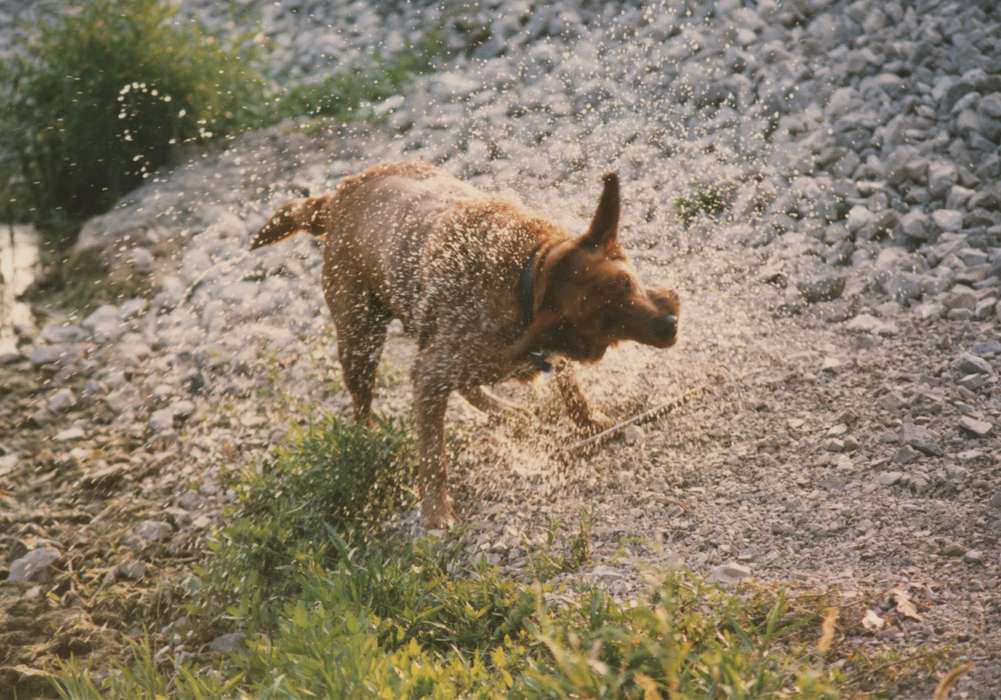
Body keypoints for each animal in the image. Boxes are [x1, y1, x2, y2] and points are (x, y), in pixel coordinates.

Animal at [250, 163, 680, 524]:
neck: (530, 275)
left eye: (628, 283)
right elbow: (432, 455)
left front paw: (591, 421)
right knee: (363, 404)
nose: (670, 325)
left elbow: (570, 386)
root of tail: (336, 197)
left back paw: (506, 411)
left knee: (469, 384)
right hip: (360, 340)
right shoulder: (432, 371)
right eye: (607, 323)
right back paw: (369, 436)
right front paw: (435, 510)